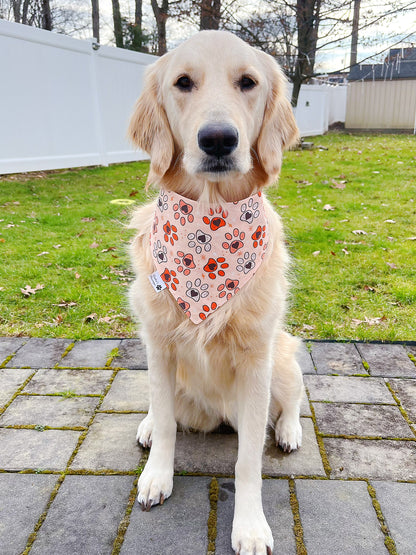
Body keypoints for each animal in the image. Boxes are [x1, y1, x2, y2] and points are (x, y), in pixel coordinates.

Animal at [127, 30, 302, 555]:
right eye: (183, 82)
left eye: (248, 82)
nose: (219, 139)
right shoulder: (159, 346)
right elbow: (167, 422)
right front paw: (156, 477)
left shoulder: (257, 361)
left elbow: (248, 461)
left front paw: (249, 526)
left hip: (282, 359)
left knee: (296, 396)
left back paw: (290, 430)